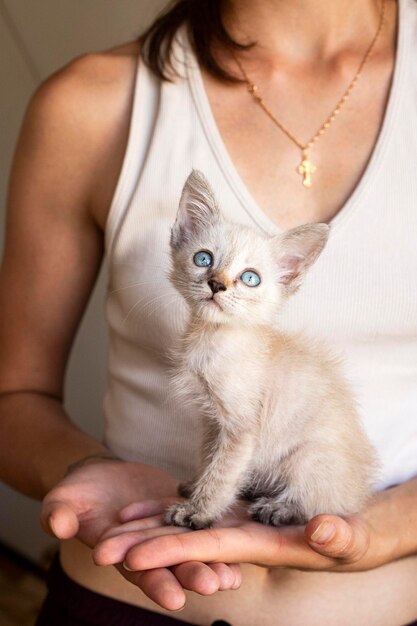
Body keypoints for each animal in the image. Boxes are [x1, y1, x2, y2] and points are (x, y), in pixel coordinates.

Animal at [164, 167, 378, 528]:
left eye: (250, 278)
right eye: (203, 259)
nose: (216, 284)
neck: (212, 338)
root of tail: (362, 491)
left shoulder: (240, 427)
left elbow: (222, 473)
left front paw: (198, 511)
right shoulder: (212, 421)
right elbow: (208, 458)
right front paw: (195, 487)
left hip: (306, 458)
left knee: (324, 504)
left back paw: (277, 508)